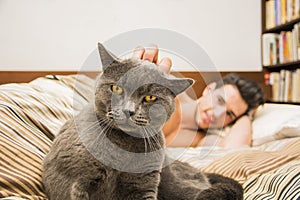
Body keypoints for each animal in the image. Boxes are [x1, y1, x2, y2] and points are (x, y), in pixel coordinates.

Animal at [42, 43, 244, 200]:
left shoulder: (143, 186)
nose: (128, 110)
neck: (122, 147)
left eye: (150, 98)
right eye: (116, 88)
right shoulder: (71, 180)